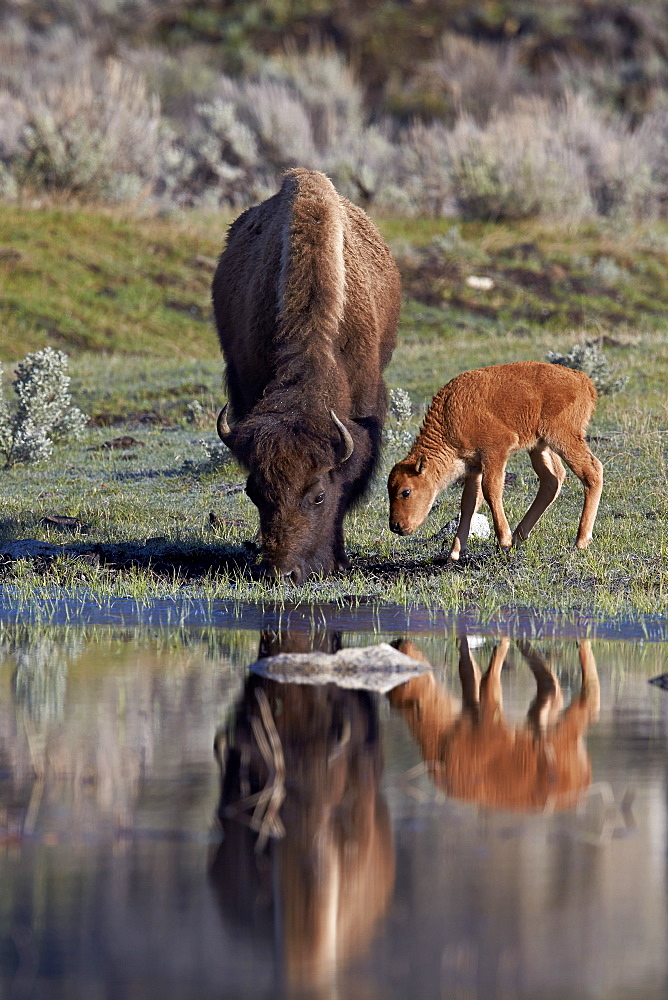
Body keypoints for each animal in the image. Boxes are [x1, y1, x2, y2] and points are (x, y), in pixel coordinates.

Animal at [386, 362, 604, 564]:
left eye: (406, 492)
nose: (395, 526)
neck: (449, 419)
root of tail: (583, 380)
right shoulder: (473, 467)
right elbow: (469, 503)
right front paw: (454, 553)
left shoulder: (495, 453)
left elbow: (491, 490)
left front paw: (503, 541)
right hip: (540, 446)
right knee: (552, 480)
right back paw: (519, 536)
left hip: (562, 438)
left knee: (591, 471)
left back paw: (580, 541)